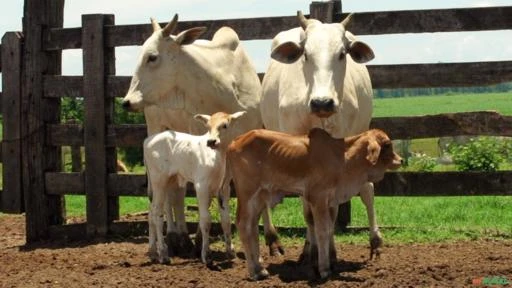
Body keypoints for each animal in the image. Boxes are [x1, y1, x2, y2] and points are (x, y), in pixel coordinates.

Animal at [142, 111, 246, 264]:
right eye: (208, 126)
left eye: (225, 125)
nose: (211, 142)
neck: (217, 158)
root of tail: (148, 141)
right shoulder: (201, 187)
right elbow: (205, 220)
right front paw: (206, 255)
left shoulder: (223, 189)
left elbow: (226, 220)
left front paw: (230, 252)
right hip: (159, 181)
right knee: (157, 213)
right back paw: (163, 254)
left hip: (168, 182)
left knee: (151, 213)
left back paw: (153, 251)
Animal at [226, 127, 402, 280]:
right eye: (387, 144)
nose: (400, 160)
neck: (342, 158)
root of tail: (234, 142)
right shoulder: (318, 198)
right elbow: (322, 231)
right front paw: (324, 269)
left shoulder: (331, 201)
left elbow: (330, 229)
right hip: (247, 194)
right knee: (243, 225)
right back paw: (254, 272)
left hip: (259, 198)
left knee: (252, 228)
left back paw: (260, 269)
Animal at [260, 12, 380, 258]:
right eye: (306, 54)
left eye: (342, 54)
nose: (322, 103)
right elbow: (309, 211)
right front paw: (312, 250)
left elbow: (331, 209)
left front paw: (330, 252)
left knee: (367, 190)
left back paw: (374, 239)